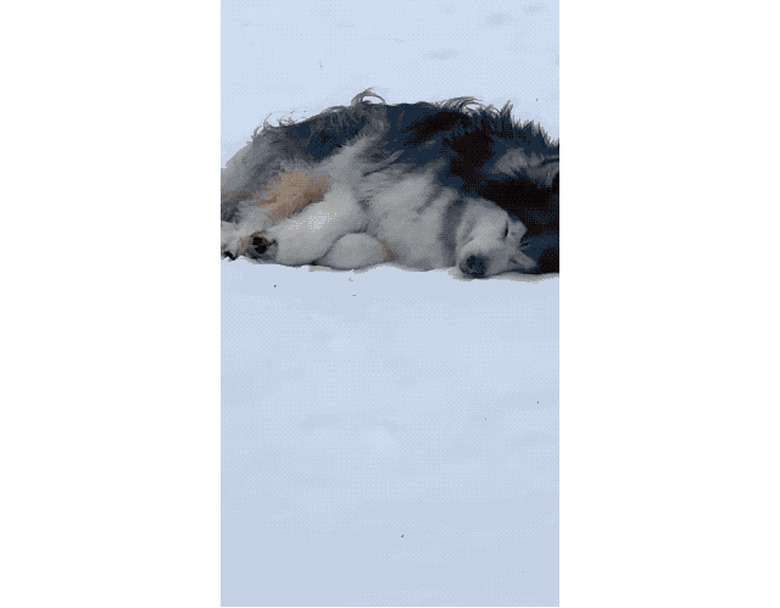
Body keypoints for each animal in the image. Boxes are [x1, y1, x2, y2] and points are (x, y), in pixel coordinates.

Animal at [222, 89, 556, 280]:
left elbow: (358, 250)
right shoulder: (361, 187)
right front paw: (268, 245)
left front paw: (329, 255)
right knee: (253, 208)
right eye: (508, 230)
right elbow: (317, 229)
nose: (477, 266)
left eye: (519, 261)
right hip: (308, 173)